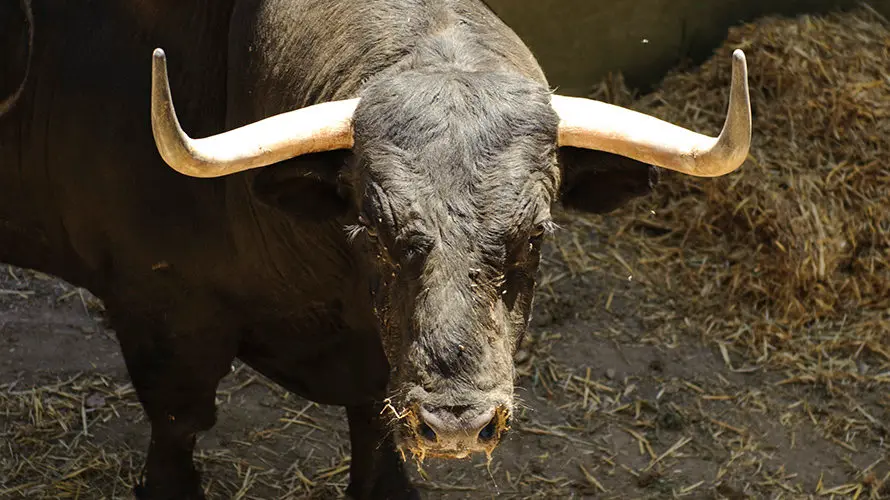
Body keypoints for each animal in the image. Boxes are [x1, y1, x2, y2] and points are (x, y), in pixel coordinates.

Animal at [0, 0, 751, 498]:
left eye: (535, 235)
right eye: (374, 231)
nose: (457, 422)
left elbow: (374, 431)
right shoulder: (159, 313)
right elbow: (179, 429)